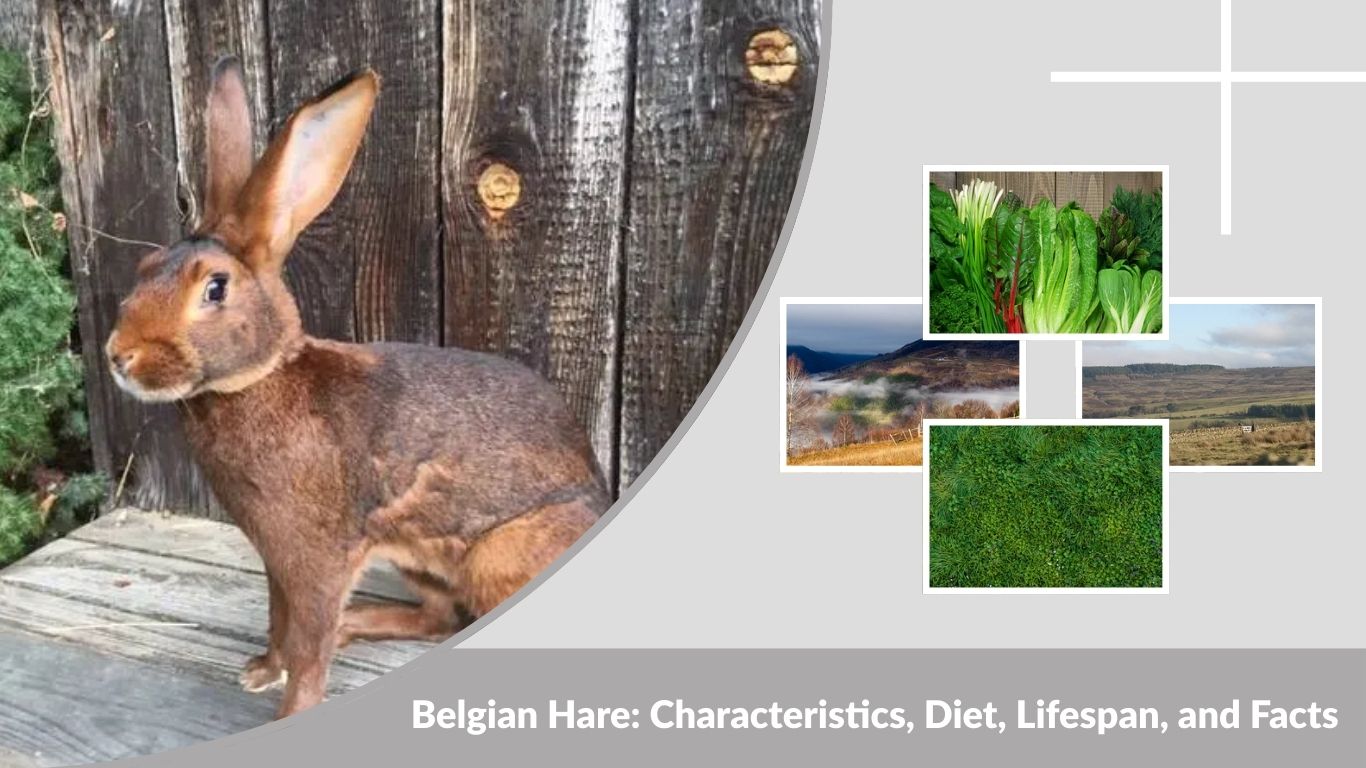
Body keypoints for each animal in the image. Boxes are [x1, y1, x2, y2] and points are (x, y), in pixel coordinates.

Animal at [104, 58, 610, 718]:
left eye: (214, 288)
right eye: (143, 272)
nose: (119, 356)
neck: (263, 377)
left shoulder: (316, 563)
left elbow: (309, 644)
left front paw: (290, 708)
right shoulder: (278, 561)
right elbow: (279, 622)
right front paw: (261, 671)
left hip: (495, 556)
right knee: (440, 618)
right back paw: (360, 625)